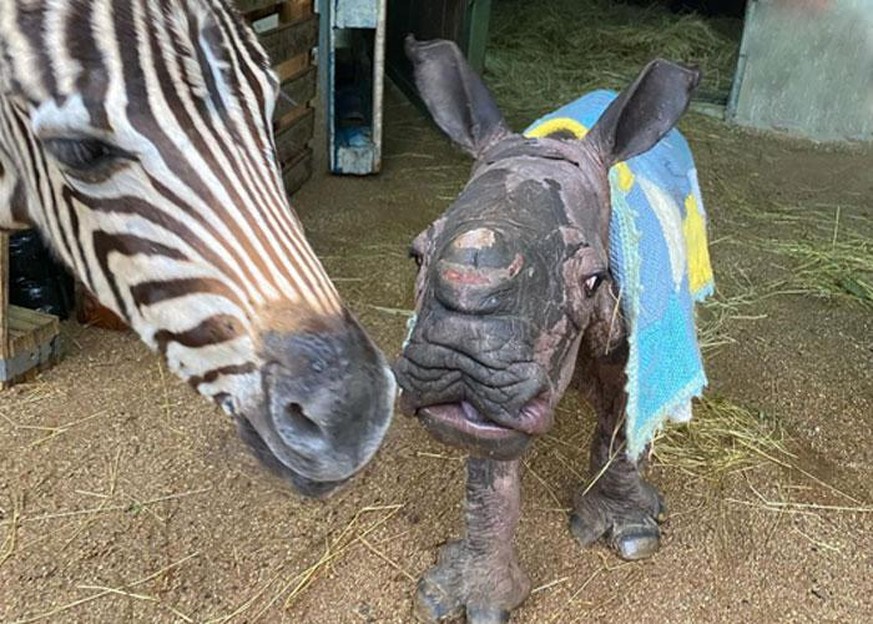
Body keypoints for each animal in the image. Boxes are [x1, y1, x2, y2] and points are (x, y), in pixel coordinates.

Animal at [396, 36, 708, 620]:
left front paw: (632, 533)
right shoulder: (493, 403)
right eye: (416, 255)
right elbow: (489, 475)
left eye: (593, 280)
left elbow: (622, 424)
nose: (459, 357)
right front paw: (471, 594)